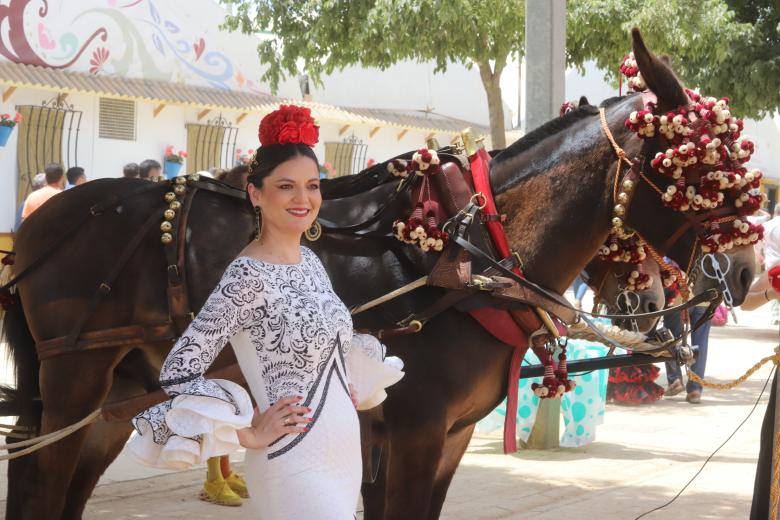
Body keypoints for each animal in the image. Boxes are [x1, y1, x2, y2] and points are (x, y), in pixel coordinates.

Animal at [1, 30, 756, 516]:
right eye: (707, 165)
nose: (745, 271)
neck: (464, 252)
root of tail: (44, 223)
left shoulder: (444, 435)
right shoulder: (417, 429)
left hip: (120, 393)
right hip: (74, 377)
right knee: (39, 484)